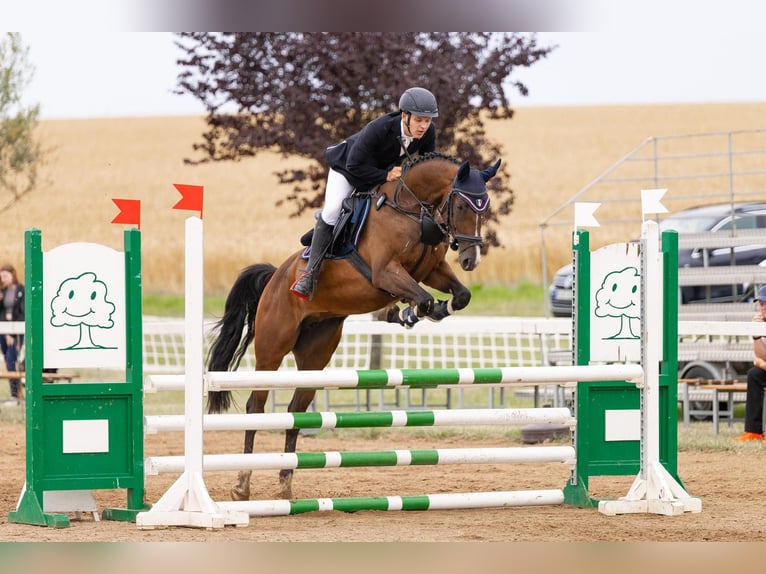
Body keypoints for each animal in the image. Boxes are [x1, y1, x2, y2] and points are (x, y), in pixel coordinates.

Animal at [206, 151, 501, 501]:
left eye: (485, 208)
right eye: (462, 207)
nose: (471, 260)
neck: (411, 208)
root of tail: (275, 277)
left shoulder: (432, 269)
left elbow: (459, 295)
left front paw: (423, 311)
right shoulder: (385, 272)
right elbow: (423, 298)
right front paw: (406, 313)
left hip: (316, 354)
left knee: (296, 409)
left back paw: (285, 484)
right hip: (271, 348)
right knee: (256, 405)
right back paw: (242, 484)